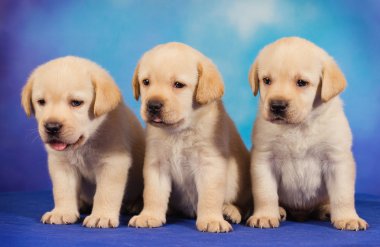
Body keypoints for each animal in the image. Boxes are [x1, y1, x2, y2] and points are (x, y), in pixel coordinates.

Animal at [21, 55, 145, 228]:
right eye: (41, 102)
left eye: (76, 103)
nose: (52, 127)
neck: (84, 144)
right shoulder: (61, 164)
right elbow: (62, 190)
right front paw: (62, 212)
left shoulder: (113, 163)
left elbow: (105, 193)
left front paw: (101, 216)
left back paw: (135, 204)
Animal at [128, 43, 252, 233]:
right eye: (146, 82)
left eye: (178, 85)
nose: (153, 105)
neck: (179, 131)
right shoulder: (156, 164)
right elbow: (153, 193)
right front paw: (149, 215)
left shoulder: (210, 164)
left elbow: (210, 196)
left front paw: (211, 219)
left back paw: (230, 210)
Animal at [246, 37, 368, 232]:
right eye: (266, 80)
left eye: (301, 82)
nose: (277, 105)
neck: (299, 126)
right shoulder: (264, 159)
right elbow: (265, 193)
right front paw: (264, 215)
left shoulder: (337, 160)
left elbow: (343, 195)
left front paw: (348, 218)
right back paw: (280, 210)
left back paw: (327, 210)